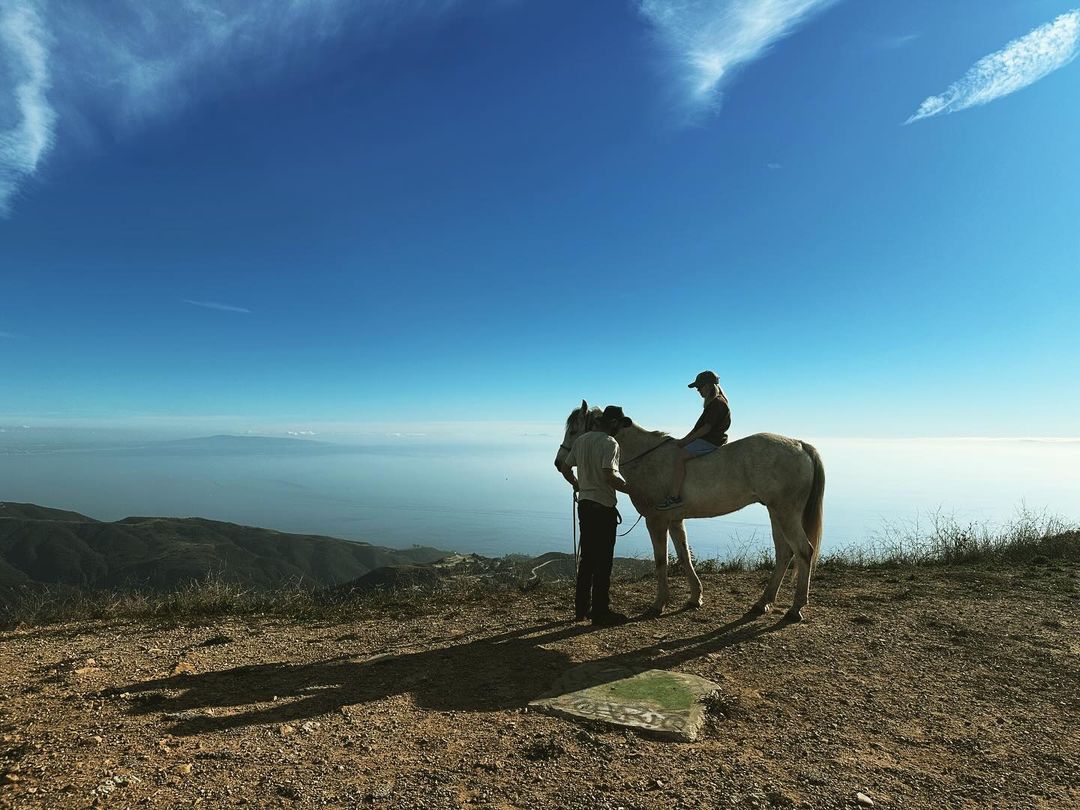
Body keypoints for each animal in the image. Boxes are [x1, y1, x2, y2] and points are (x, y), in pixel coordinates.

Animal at [555, 401, 825, 621]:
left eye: (574, 430)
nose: (559, 463)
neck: (646, 458)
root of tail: (800, 445)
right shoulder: (675, 521)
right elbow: (684, 556)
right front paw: (695, 597)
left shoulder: (656, 521)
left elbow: (661, 561)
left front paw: (658, 604)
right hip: (776, 512)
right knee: (784, 553)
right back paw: (763, 602)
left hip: (785, 513)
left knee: (803, 551)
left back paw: (795, 608)